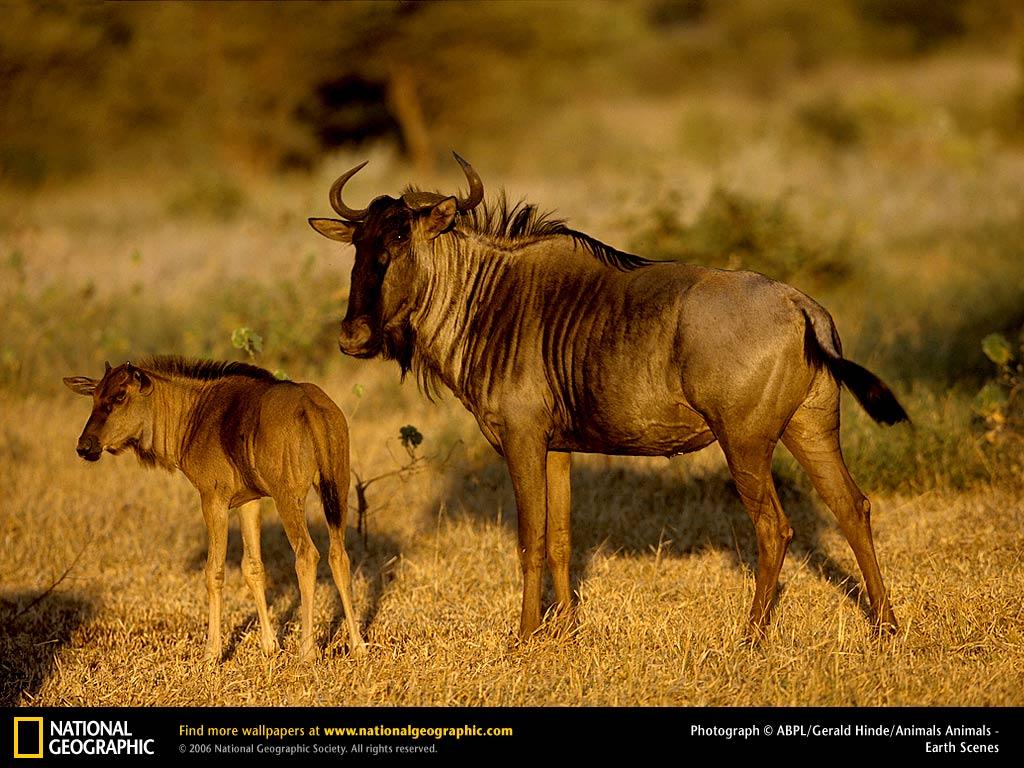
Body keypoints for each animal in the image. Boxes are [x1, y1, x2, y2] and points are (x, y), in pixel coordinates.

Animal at [64, 358, 368, 663]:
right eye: (94, 396)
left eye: (120, 396)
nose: (84, 446)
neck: (192, 414)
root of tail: (311, 406)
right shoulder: (249, 501)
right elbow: (253, 567)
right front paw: (269, 645)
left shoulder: (213, 500)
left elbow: (214, 572)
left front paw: (212, 653)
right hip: (338, 488)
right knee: (339, 555)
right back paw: (358, 645)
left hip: (288, 497)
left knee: (307, 555)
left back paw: (307, 652)